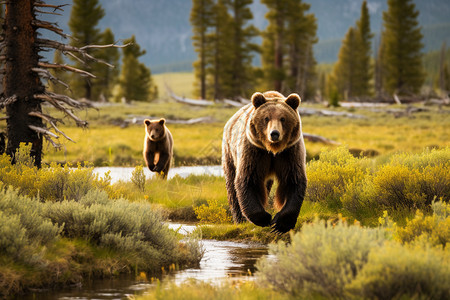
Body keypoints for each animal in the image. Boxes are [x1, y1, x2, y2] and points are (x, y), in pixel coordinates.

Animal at [222, 90, 308, 233]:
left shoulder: (289, 153)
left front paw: (280, 224)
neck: (272, 149)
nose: (274, 133)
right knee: (232, 185)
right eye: (266, 118)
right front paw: (265, 218)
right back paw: (240, 219)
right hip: (229, 152)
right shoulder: (254, 151)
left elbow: (293, 180)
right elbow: (248, 179)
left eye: (283, 118)